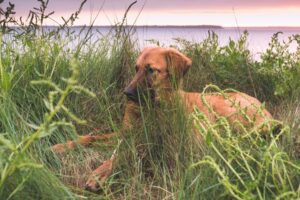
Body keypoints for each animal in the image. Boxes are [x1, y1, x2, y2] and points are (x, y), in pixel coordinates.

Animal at [51, 47, 274, 192]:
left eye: (151, 69)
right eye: (136, 68)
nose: (127, 93)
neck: (150, 109)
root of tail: (264, 108)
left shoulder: (148, 141)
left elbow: (121, 155)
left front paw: (98, 175)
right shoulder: (126, 133)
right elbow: (90, 137)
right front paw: (60, 146)